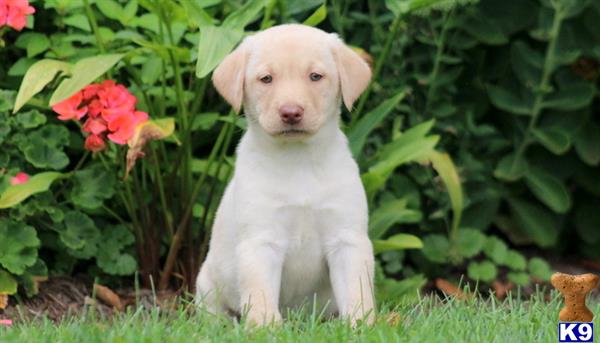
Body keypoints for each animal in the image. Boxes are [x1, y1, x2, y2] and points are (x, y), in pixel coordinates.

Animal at [197, 24, 376, 328]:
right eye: (266, 79)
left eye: (315, 76)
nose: (291, 112)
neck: (298, 160)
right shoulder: (260, 241)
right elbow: (260, 293)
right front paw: (265, 328)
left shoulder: (347, 239)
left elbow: (357, 290)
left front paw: (361, 326)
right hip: (207, 284)